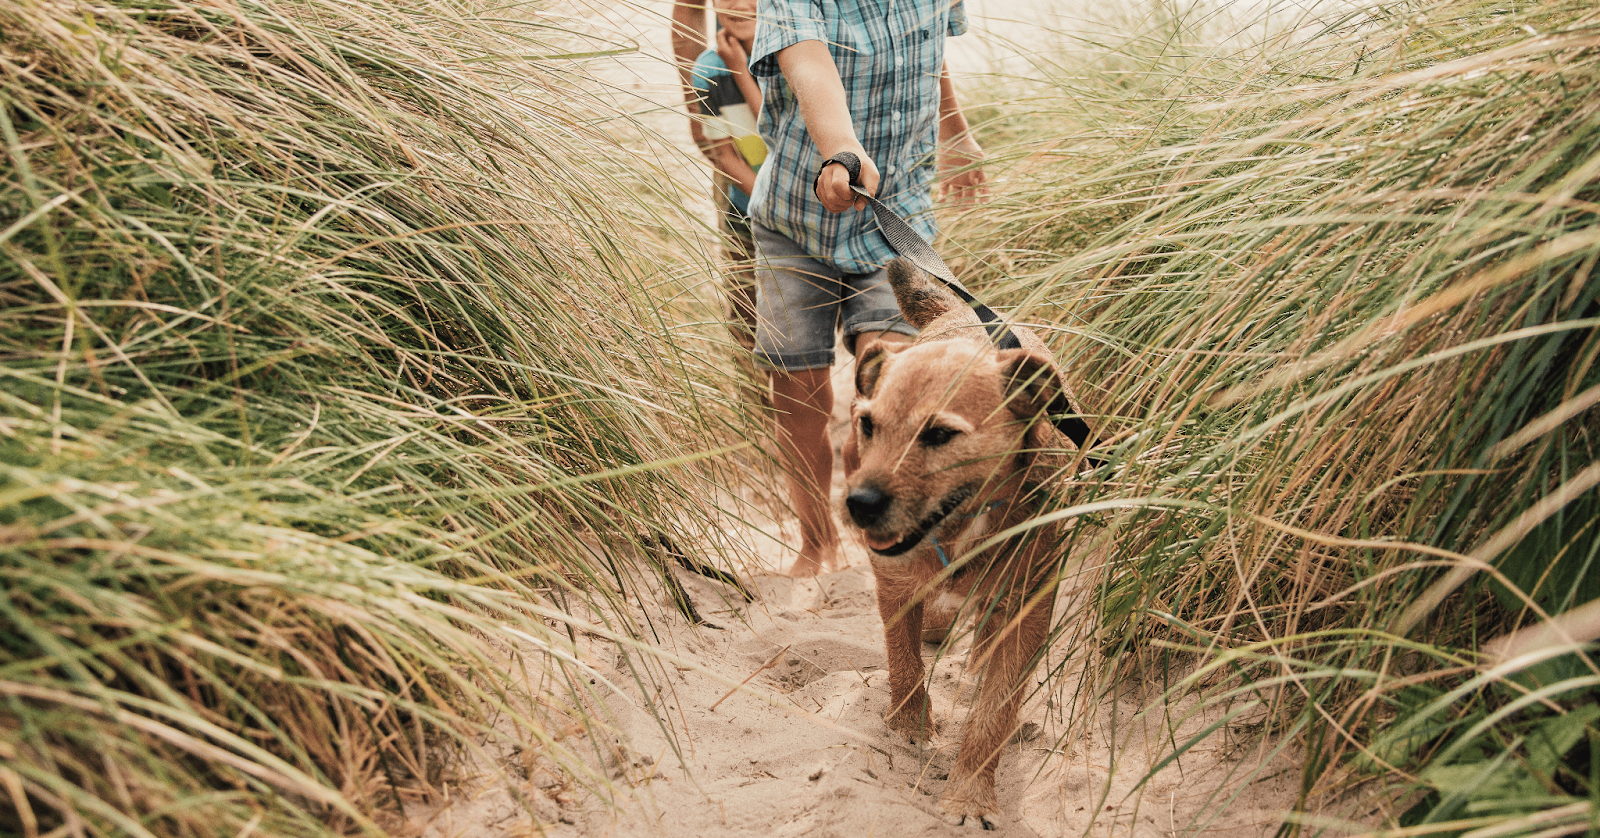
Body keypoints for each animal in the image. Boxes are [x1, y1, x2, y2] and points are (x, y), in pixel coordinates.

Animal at [838, 257, 1088, 831]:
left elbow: (993, 711)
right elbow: (903, 660)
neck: (960, 532)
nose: (858, 503)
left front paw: (970, 794)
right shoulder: (895, 584)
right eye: (868, 425)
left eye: (938, 435)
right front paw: (909, 725)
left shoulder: (1026, 611)